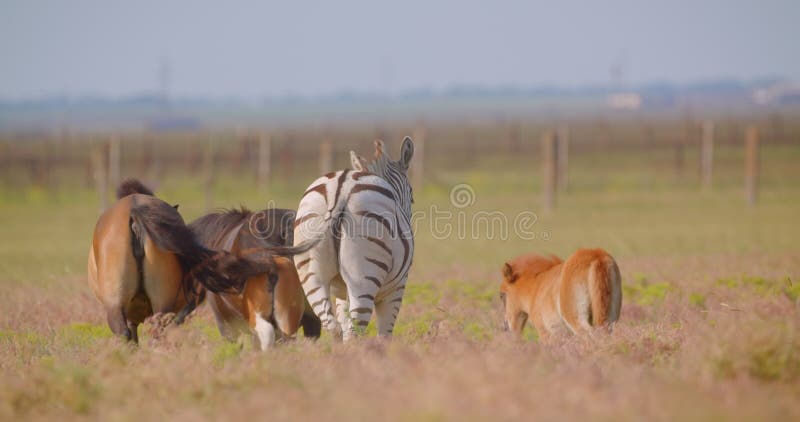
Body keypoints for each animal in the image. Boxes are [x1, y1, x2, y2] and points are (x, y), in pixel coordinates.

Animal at [292, 137, 416, 342]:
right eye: (412, 196)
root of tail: (340, 190)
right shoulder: (396, 289)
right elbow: (384, 335)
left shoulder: (343, 295)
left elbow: (343, 319)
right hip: (363, 275)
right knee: (353, 332)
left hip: (311, 274)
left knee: (333, 326)